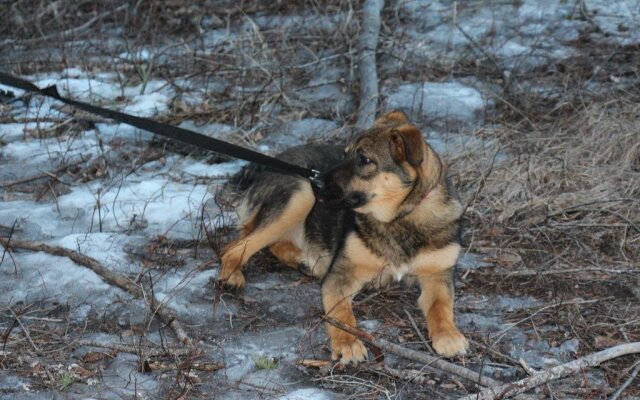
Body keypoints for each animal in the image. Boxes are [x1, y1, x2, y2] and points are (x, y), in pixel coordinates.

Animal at [218, 111, 468, 364]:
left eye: (363, 160)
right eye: (344, 154)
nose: (317, 182)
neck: (400, 219)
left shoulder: (439, 276)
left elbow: (441, 307)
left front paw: (449, 335)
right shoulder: (341, 275)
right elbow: (342, 314)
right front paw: (348, 343)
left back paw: (302, 259)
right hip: (301, 195)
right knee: (231, 247)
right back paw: (232, 276)